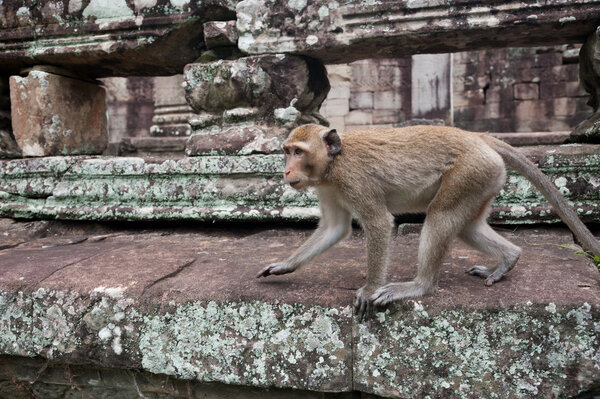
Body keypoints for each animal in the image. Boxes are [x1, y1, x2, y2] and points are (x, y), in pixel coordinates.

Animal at [255, 123, 600, 320]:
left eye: (298, 152)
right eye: (286, 151)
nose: (286, 171)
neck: (332, 164)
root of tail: (478, 137)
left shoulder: (352, 180)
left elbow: (379, 223)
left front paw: (369, 289)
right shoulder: (327, 187)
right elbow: (334, 229)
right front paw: (284, 266)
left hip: (470, 171)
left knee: (441, 217)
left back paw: (420, 286)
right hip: (485, 178)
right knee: (467, 227)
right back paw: (508, 259)